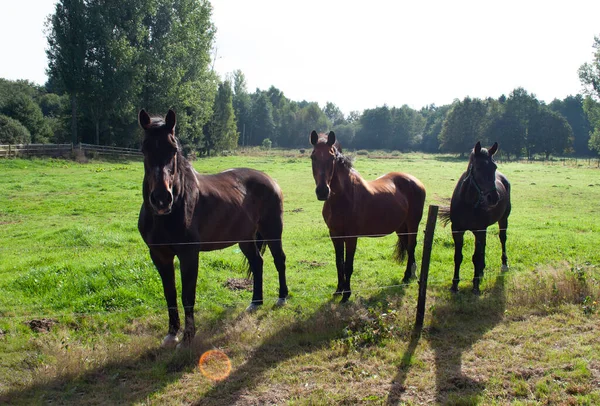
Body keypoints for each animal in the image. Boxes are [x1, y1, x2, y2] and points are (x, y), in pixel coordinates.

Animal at [138, 109, 288, 348]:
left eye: (173, 149)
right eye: (145, 148)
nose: (161, 199)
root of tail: (270, 179)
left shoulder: (189, 254)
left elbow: (187, 295)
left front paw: (187, 338)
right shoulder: (159, 255)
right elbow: (169, 294)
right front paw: (172, 334)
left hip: (272, 230)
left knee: (279, 260)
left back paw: (282, 298)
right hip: (245, 238)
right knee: (257, 262)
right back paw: (255, 302)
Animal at [310, 130, 426, 302]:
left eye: (332, 158)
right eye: (313, 157)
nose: (323, 191)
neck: (343, 198)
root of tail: (416, 181)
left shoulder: (351, 236)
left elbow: (348, 265)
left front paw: (346, 295)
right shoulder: (335, 234)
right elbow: (339, 263)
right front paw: (338, 290)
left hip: (413, 224)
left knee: (412, 247)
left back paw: (407, 277)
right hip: (401, 227)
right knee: (407, 247)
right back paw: (410, 275)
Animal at [440, 141, 510, 294]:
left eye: (494, 167)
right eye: (478, 167)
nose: (493, 197)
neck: (468, 202)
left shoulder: (479, 231)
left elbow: (476, 257)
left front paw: (476, 286)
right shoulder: (457, 230)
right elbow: (458, 256)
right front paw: (454, 285)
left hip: (503, 219)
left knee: (502, 238)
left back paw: (504, 264)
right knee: (483, 246)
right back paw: (482, 271)